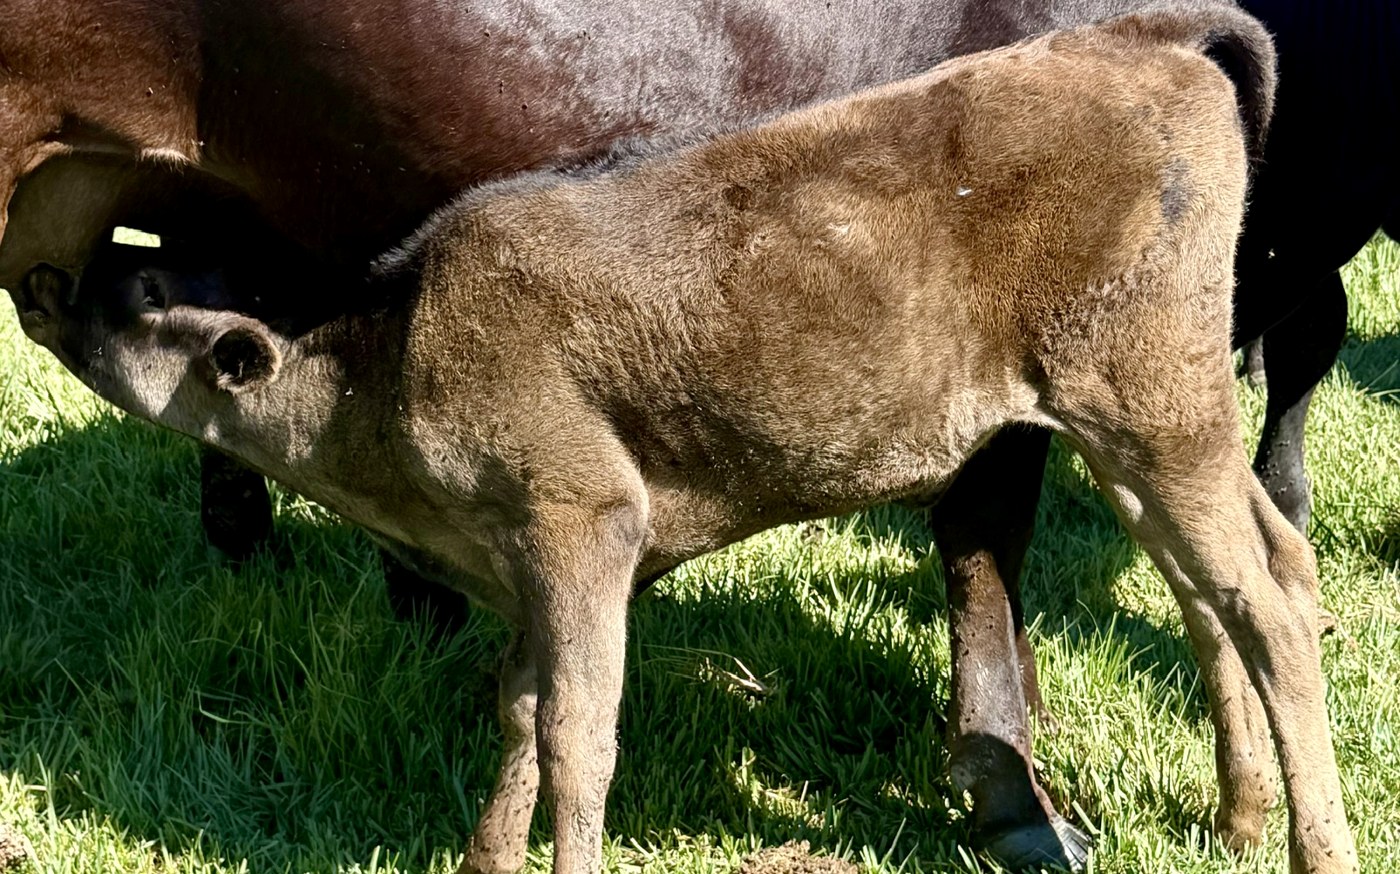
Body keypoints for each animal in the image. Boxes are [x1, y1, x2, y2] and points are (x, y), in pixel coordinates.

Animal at [17, 10, 1356, 874]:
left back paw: (1313, 848)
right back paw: (1239, 821)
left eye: (144, 294)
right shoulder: (531, 571)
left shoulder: (583, 525)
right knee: (1241, 580)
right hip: (1138, 434)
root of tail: (1140, 38)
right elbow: (521, 712)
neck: (387, 369)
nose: (48, 278)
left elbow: (578, 735)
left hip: (1153, 411)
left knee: (1263, 603)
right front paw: (484, 859)